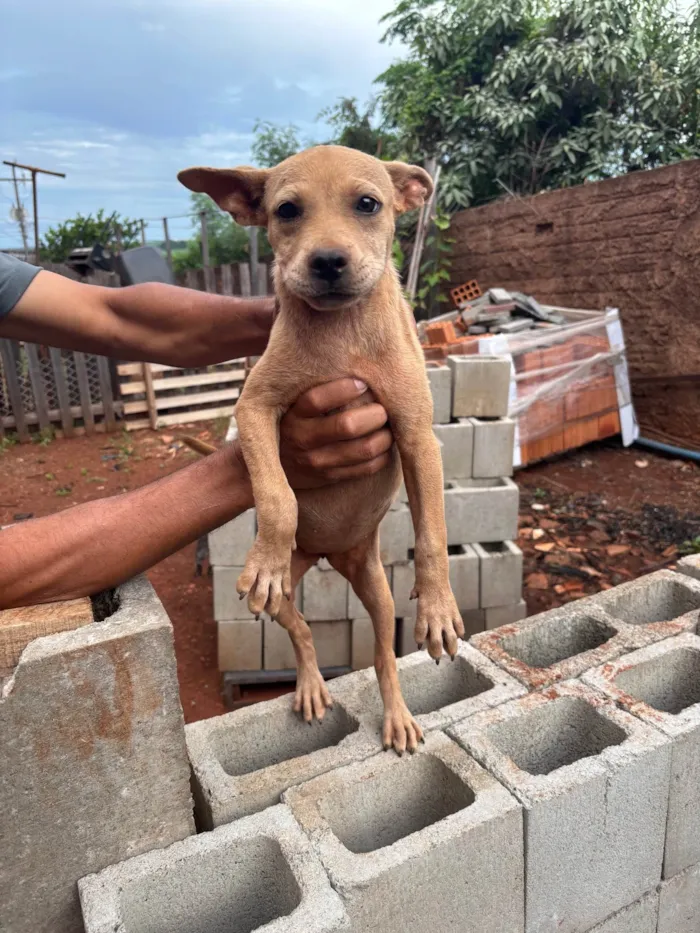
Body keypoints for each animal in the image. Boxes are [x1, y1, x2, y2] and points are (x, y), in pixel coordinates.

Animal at [179, 147, 464, 756]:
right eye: (287, 210)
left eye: (368, 204)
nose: (328, 261)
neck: (341, 333)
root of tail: (332, 555)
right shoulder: (255, 408)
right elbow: (275, 494)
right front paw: (266, 555)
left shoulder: (417, 435)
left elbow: (432, 533)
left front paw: (438, 606)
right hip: (288, 588)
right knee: (302, 630)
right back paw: (310, 682)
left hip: (376, 587)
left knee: (382, 654)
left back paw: (397, 716)